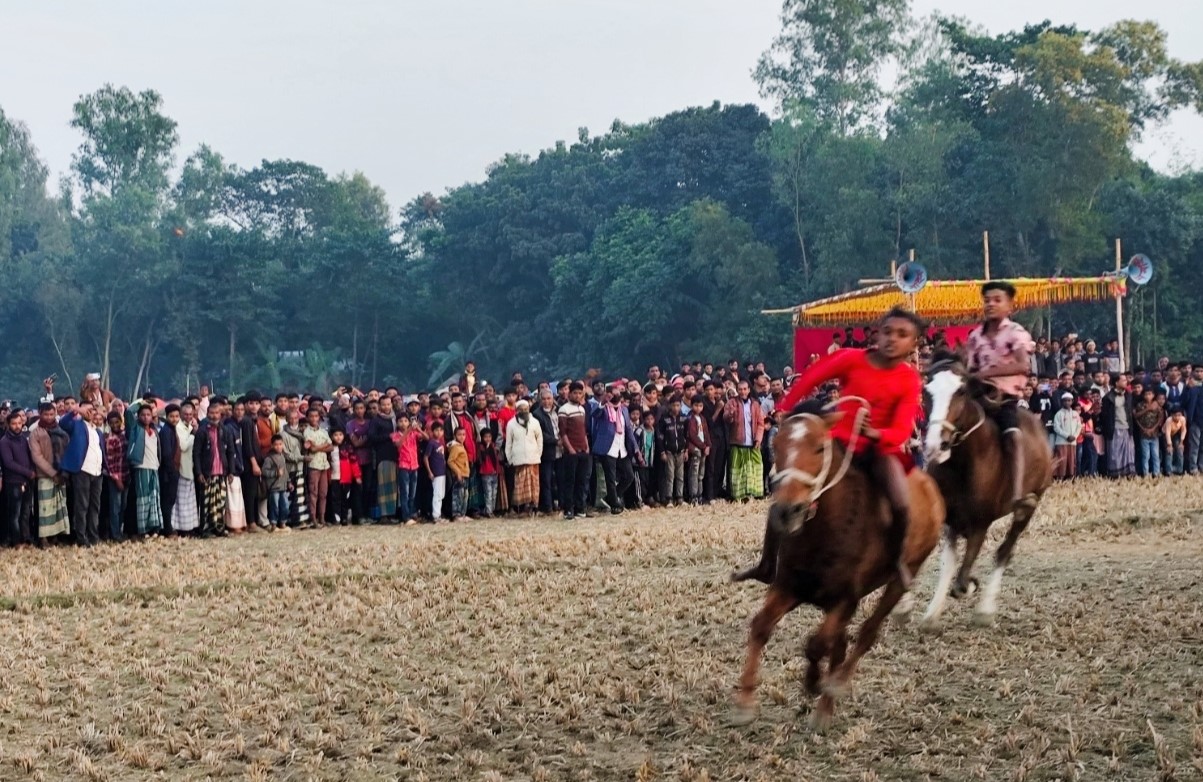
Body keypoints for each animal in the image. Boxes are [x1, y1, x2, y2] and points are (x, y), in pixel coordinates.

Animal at [726, 399, 943, 726]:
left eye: (819, 447)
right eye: (776, 445)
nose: (787, 511)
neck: (827, 526)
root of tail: (931, 488)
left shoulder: (845, 599)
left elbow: (817, 644)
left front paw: (814, 683)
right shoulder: (789, 586)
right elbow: (761, 626)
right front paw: (745, 702)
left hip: (902, 576)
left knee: (865, 635)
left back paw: (834, 689)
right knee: (840, 645)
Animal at [919, 353, 1053, 625]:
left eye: (961, 391)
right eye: (926, 391)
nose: (936, 444)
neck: (963, 464)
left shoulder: (980, 523)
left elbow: (961, 580)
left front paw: (970, 584)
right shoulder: (950, 521)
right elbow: (947, 564)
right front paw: (930, 613)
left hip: (1030, 504)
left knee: (1005, 550)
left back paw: (985, 609)